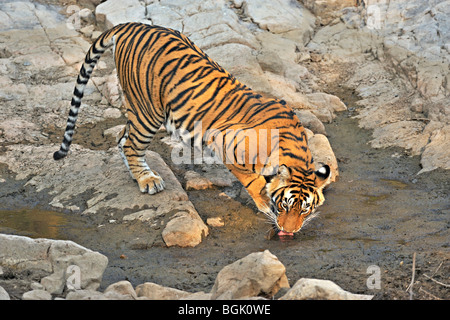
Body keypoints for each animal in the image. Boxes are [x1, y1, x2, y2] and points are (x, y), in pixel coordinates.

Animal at [53, 23, 330, 235]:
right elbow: (254, 180)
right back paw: (147, 181)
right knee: (131, 143)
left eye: (305, 209)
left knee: (122, 138)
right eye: (284, 206)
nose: (289, 231)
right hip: (149, 111)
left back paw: (138, 175)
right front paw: (263, 203)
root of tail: (131, 25)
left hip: (139, 109)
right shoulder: (224, 142)